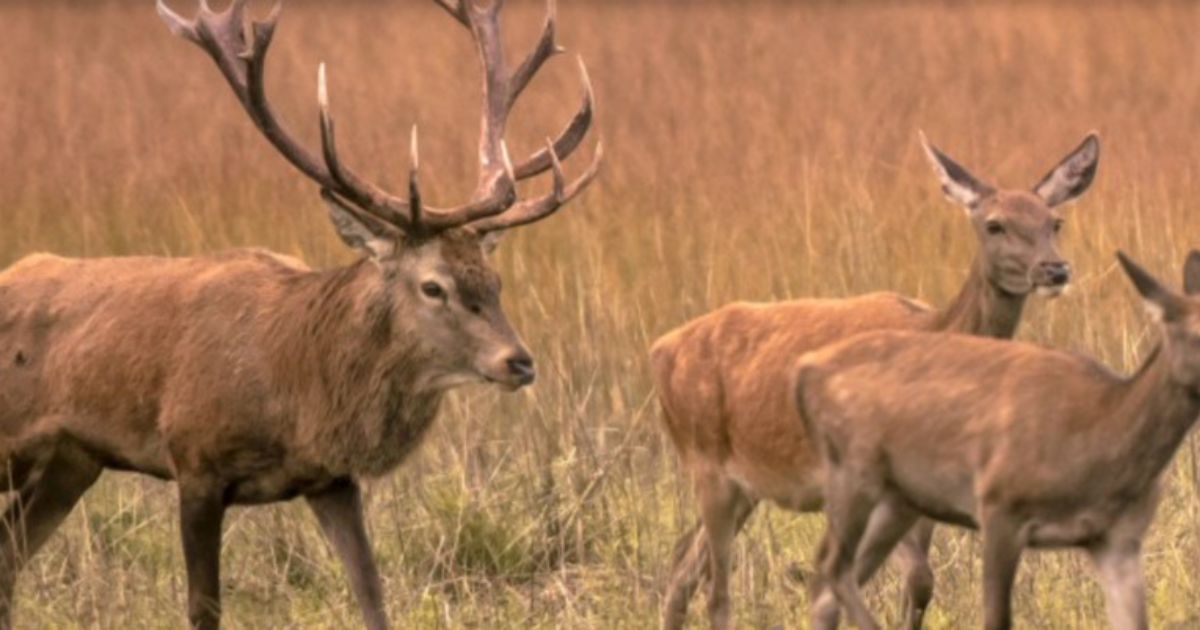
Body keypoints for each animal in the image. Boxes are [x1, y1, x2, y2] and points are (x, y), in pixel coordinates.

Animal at [0, 0, 600, 628]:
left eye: (495, 281)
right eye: (433, 287)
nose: (520, 362)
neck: (295, 390)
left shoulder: (332, 479)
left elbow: (373, 595)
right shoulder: (194, 459)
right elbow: (203, 608)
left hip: (71, 463)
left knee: (7, 558)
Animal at [651, 132, 1099, 630]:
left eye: (1055, 221)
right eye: (994, 224)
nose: (1055, 270)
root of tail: (661, 350)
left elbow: (917, 587)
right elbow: (895, 577)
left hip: (746, 485)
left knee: (680, 568)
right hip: (706, 461)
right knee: (715, 592)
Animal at [794, 250, 1200, 630]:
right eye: (1193, 333)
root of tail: (805, 372)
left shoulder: (1119, 539)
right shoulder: (1000, 506)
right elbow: (997, 617)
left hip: (896, 502)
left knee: (831, 579)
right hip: (853, 475)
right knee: (832, 567)